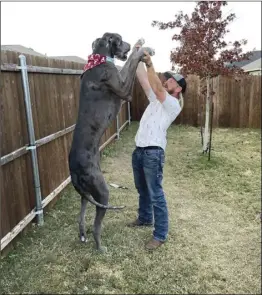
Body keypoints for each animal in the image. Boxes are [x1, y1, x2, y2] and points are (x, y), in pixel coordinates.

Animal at [68, 33, 155, 253]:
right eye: (120, 39)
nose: (129, 44)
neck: (99, 58)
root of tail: (73, 172)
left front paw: (141, 45)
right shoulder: (124, 89)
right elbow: (132, 61)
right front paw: (142, 50)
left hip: (86, 194)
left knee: (80, 218)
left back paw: (83, 236)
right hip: (102, 191)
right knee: (96, 225)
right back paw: (100, 248)